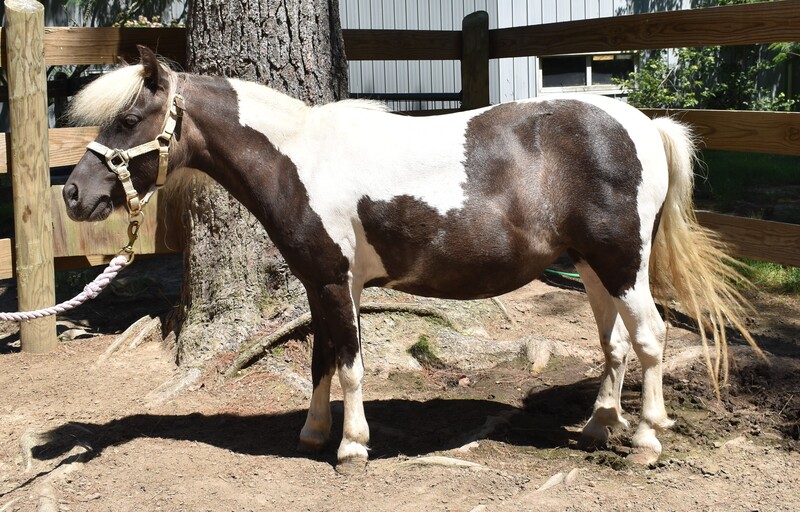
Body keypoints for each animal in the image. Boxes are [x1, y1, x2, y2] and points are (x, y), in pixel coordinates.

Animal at [64, 48, 756, 468]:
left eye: (129, 117)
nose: (74, 193)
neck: (300, 158)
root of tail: (642, 123)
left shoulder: (337, 283)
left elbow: (350, 365)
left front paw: (352, 447)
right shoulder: (324, 284)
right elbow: (321, 359)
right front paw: (313, 433)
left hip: (622, 265)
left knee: (650, 338)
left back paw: (645, 439)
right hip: (590, 267)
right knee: (614, 344)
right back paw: (596, 428)